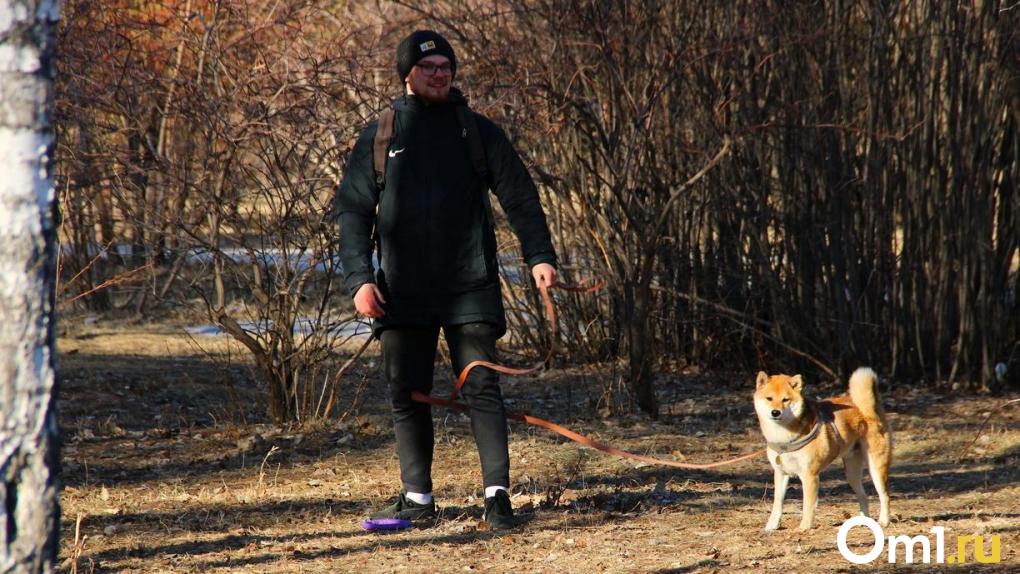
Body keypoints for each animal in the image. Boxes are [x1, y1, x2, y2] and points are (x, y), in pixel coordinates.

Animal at [754, 367, 889, 534]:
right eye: (769, 398)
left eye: (785, 400)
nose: (775, 412)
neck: (784, 438)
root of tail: (870, 407)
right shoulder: (780, 473)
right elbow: (777, 503)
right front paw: (771, 526)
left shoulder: (809, 475)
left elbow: (807, 505)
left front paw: (804, 527)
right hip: (851, 474)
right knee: (863, 496)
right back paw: (863, 522)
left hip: (876, 467)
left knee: (884, 495)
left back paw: (884, 521)